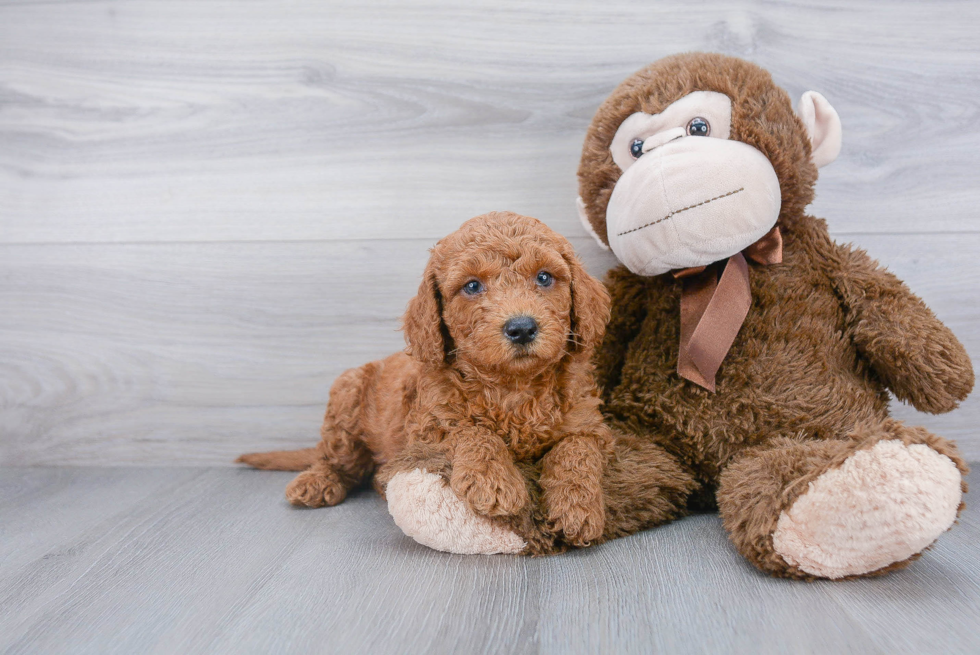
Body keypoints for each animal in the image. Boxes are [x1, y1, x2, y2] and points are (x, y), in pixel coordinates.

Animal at [235, 211, 612, 548]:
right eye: (472, 286)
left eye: (545, 278)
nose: (521, 328)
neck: (512, 386)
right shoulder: (429, 426)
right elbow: (472, 430)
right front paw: (493, 481)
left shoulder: (588, 424)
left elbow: (577, 452)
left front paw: (579, 509)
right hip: (347, 395)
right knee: (338, 460)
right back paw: (317, 481)